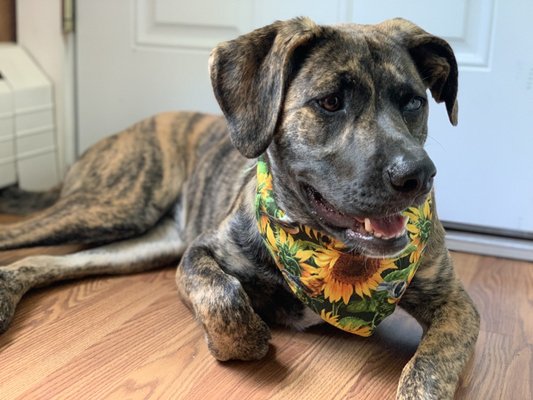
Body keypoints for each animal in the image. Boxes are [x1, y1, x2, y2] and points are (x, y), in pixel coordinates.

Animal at [0, 18, 478, 400]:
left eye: (414, 102)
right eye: (329, 102)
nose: (418, 175)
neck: (323, 248)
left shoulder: (455, 304)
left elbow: (430, 368)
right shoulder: (200, 254)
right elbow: (224, 297)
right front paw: (248, 335)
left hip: (143, 241)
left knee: (48, 261)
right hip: (115, 204)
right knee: (21, 235)